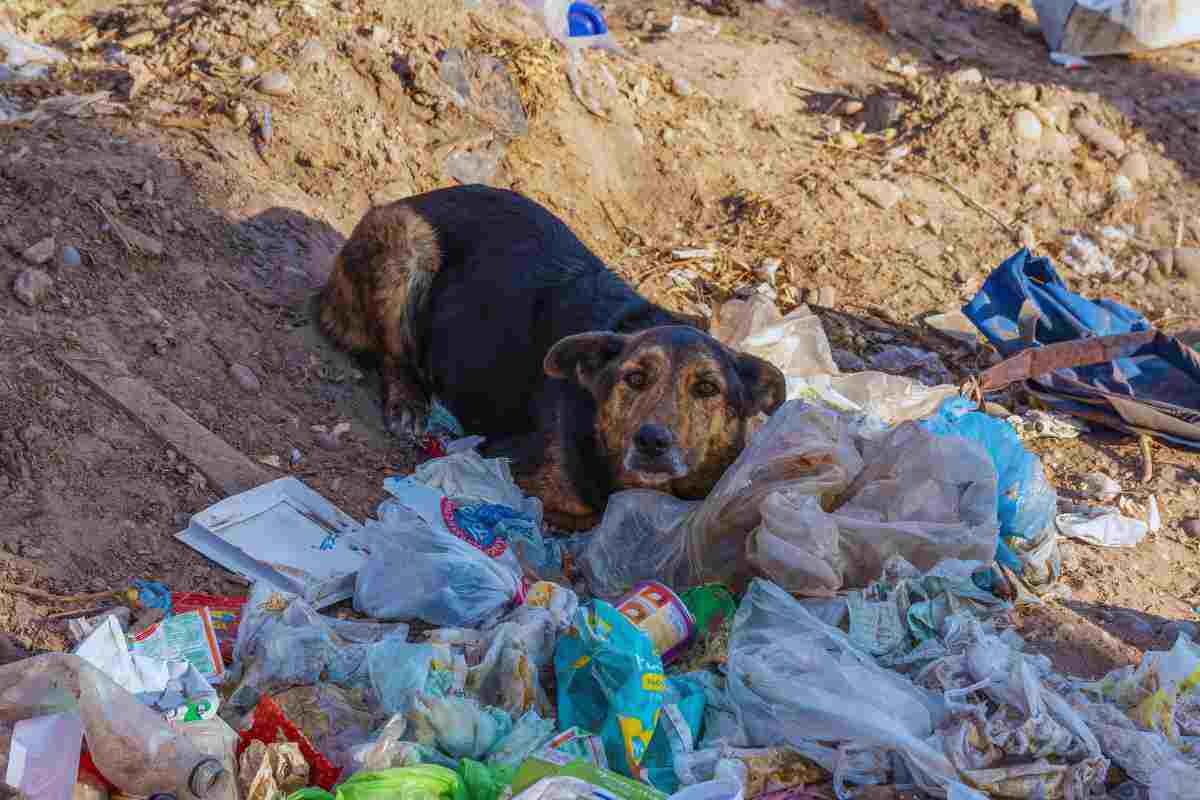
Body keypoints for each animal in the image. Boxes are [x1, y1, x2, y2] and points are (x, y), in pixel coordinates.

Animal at [321, 184, 787, 527]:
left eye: (707, 388)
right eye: (635, 378)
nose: (652, 442)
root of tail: (416, 196)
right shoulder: (517, 471)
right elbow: (589, 513)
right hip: (405, 239)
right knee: (393, 353)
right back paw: (409, 401)